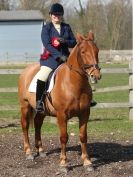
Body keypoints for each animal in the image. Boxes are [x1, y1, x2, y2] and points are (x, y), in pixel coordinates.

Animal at [17, 30, 101, 171]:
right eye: (83, 52)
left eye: (97, 50)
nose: (96, 75)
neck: (73, 83)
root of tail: (26, 70)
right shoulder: (62, 115)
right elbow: (63, 137)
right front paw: (63, 163)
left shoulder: (85, 113)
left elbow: (83, 136)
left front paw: (87, 162)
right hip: (25, 106)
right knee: (25, 125)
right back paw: (28, 152)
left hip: (42, 110)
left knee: (38, 123)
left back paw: (41, 150)